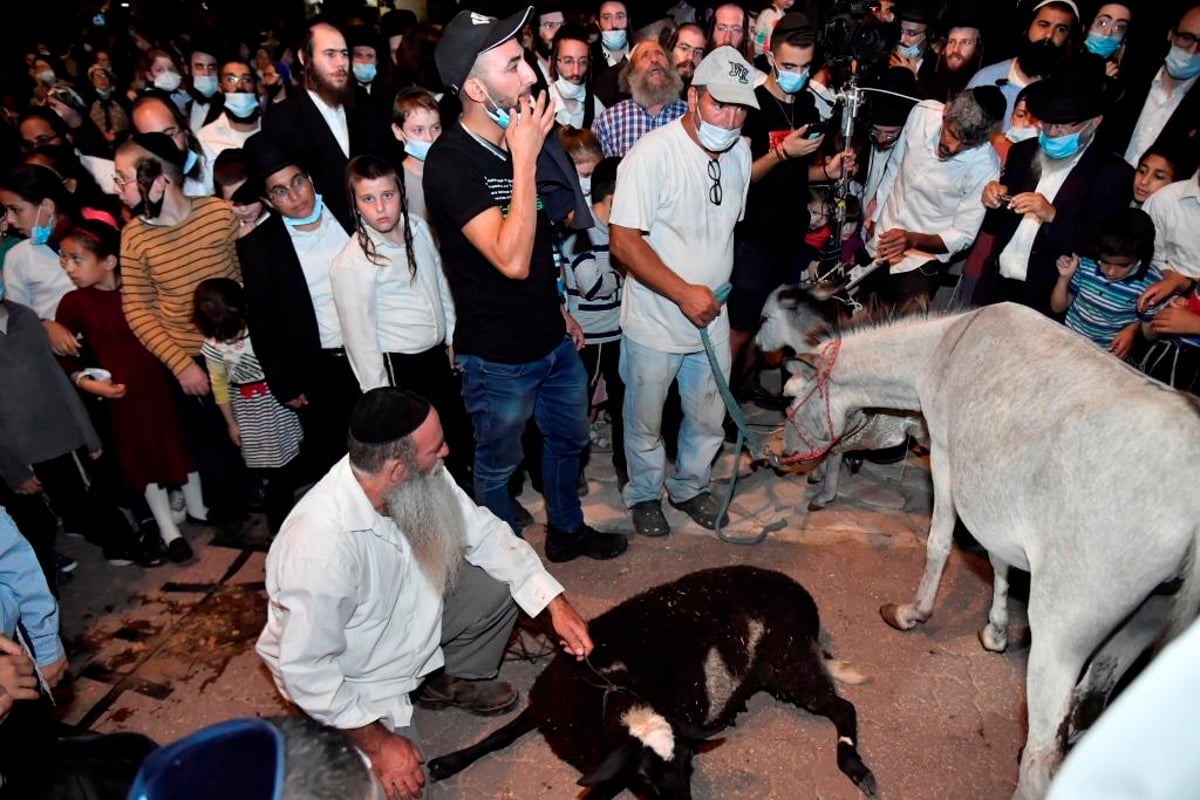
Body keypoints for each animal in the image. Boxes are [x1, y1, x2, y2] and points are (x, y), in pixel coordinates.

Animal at [427, 566, 878, 796]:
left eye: (691, 765)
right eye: (644, 776)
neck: (610, 688)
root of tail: (803, 598)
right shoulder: (545, 705)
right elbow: (497, 736)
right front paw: (445, 763)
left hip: (787, 660)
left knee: (842, 707)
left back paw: (856, 767)